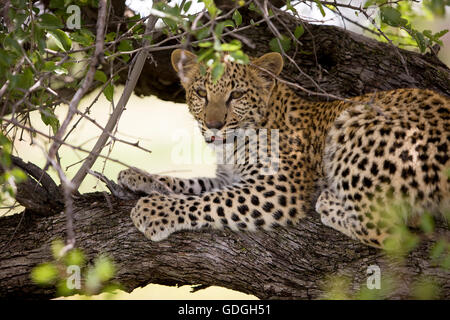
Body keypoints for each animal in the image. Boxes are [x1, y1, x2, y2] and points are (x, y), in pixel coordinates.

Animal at [118, 48, 448, 248]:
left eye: (236, 95)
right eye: (200, 93)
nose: (213, 125)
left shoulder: (277, 187)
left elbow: (208, 202)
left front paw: (154, 211)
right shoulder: (230, 177)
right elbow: (191, 185)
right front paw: (138, 176)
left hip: (356, 120)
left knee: (394, 234)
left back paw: (328, 204)